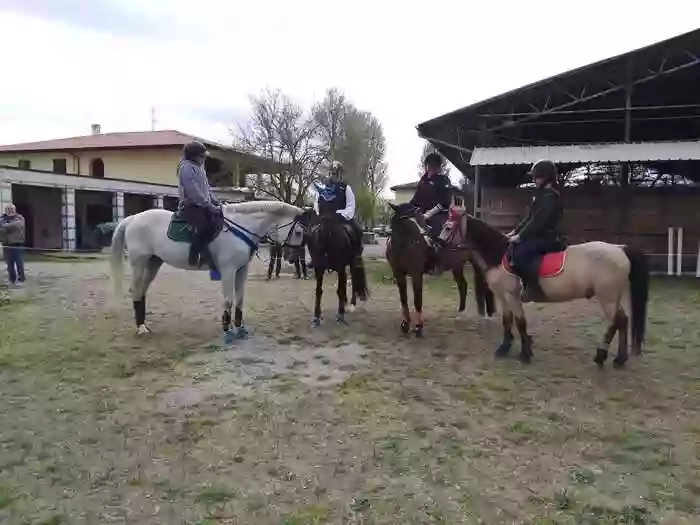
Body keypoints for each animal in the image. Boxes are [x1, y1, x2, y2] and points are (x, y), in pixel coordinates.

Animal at [110, 200, 306, 340]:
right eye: (298, 232)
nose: (293, 258)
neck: (241, 228)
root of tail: (133, 218)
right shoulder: (228, 270)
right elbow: (228, 300)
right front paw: (227, 331)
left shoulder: (242, 270)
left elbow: (240, 299)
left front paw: (240, 328)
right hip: (140, 263)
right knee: (136, 291)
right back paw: (141, 328)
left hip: (153, 263)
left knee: (141, 291)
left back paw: (144, 325)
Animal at [386, 203, 494, 338]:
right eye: (405, 219)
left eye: (420, 218)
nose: (428, 242)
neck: (402, 247)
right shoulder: (399, 274)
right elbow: (403, 300)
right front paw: (405, 324)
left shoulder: (416, 274)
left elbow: (417, 300)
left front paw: (418, 327)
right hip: (457, 265)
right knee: (463, 286)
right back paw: (461, 314)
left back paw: (488, 315)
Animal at [442, 209, 652, 364]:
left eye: (448, 227)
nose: (438, 244)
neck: (499, 254)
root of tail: (620, 249)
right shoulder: (504, 297)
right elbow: (507, 321)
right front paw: (504, 348)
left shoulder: (511, 296)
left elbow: (520, 322)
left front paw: (525, 354)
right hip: (613, 298)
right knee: (623, 321)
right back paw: (620, 359)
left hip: (607, 298)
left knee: (615, 322)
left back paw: (601, 356)